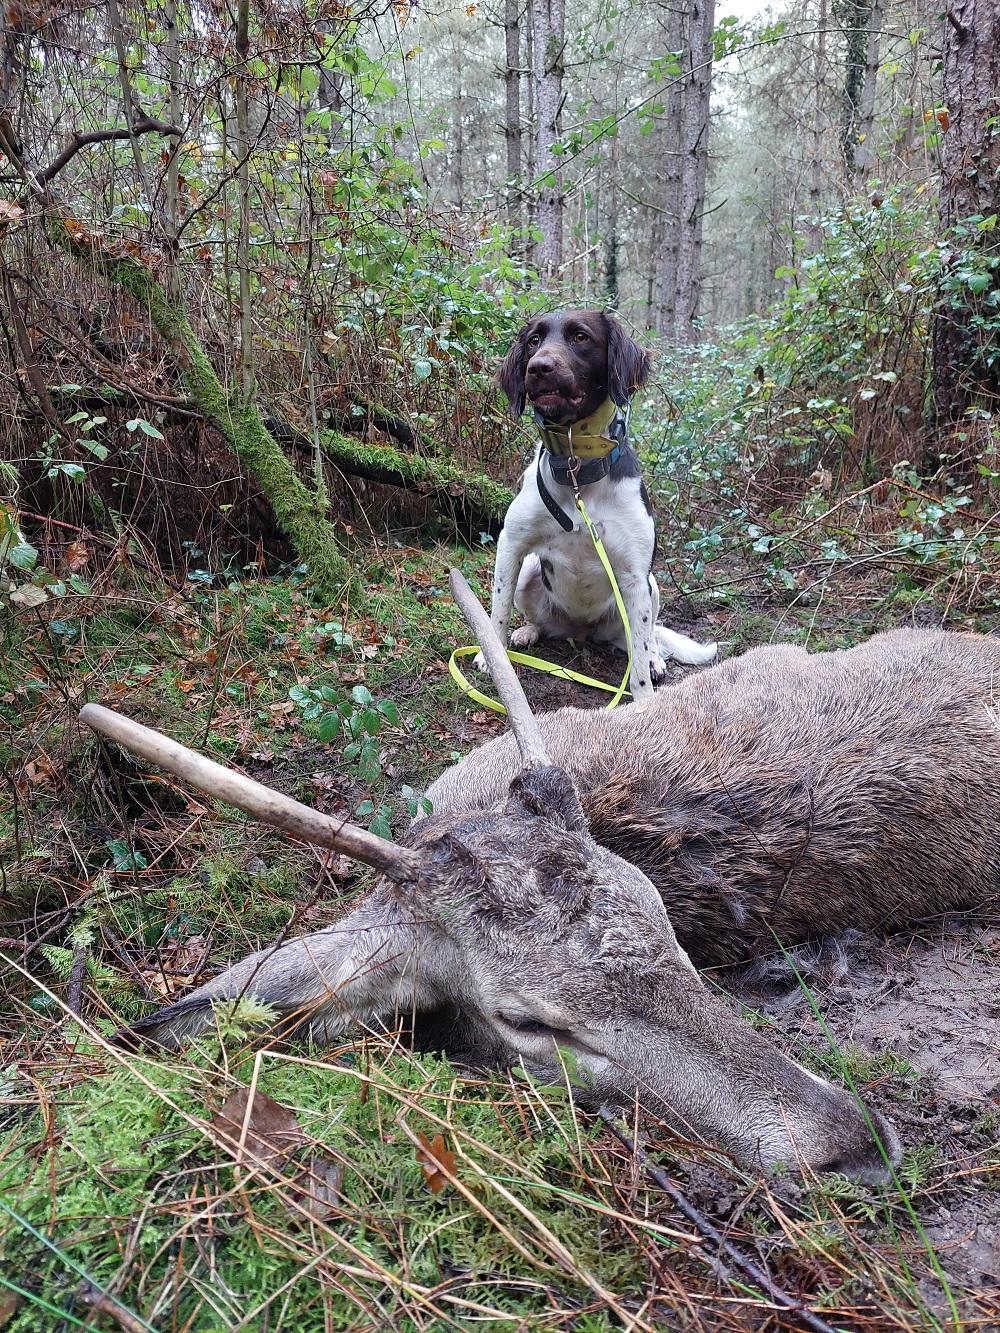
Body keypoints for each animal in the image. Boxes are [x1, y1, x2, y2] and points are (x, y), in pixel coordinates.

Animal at [482, 307, 714, 703]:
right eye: (533, 341)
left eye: (581, 337)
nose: (539, 367)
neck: (578, 471)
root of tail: (582, 630)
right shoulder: (511, 546)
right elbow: (497, 611)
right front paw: (493, 657)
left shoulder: (635, 574)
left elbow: (639, 664)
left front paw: (644, 699)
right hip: (530, 568)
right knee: (537, 620)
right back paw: (529, 631)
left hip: (650, 587)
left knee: (646, 639)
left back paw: (655, 659)